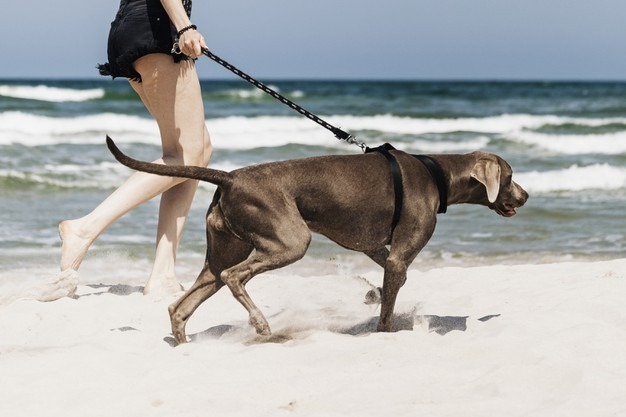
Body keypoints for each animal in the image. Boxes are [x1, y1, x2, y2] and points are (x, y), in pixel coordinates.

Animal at [105, 137, 524, 344]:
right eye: (510, 175)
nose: (525, 196)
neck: (437, 172)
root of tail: (228, 178)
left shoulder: (373, 246)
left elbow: (388, 276)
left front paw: (372, 294)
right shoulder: (397, 254)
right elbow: (389, 305)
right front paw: (385, 331)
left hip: (223, 249)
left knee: (183, 302)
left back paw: (184, 343)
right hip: (290, 240)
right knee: (234, 276)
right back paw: (261, 325)